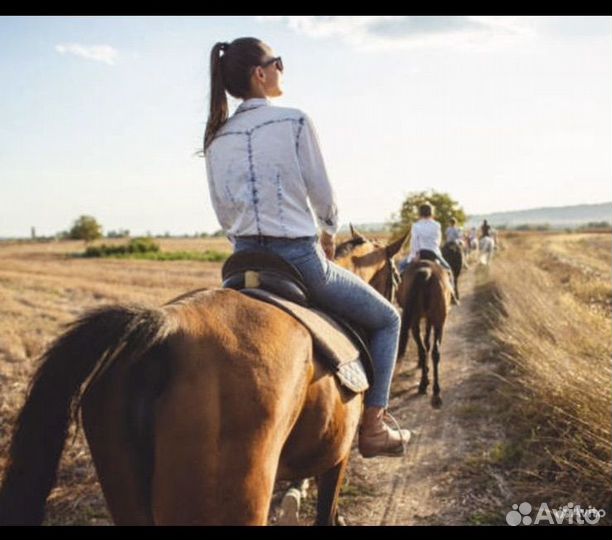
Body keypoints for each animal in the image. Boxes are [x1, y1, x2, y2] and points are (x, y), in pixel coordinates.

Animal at [394, 260, 452, 408]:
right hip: (436, 321)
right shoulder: (429, 320)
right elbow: (427, 342)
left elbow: (426, 342)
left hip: (420, 320)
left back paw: (428, 387)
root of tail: (427, 272)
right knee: (432, 351)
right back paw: (432, 390)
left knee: (427, 350)